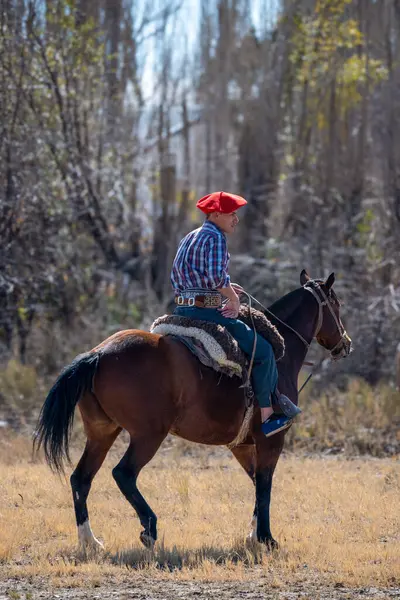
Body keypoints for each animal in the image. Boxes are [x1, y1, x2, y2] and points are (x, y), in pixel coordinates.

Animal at [35, 272, 354, 552]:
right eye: (336, 304)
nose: (346, 344)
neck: (280, 353)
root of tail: (98, 354)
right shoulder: (271, 440)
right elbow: (265, 485)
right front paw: (267, 538)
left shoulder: (241, 446)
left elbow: (255, 483)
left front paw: (253, 535)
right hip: (148, 435)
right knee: (123, 474)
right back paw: (149, 529)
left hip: (102, 432)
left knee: (81, 479)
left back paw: (90, 541)